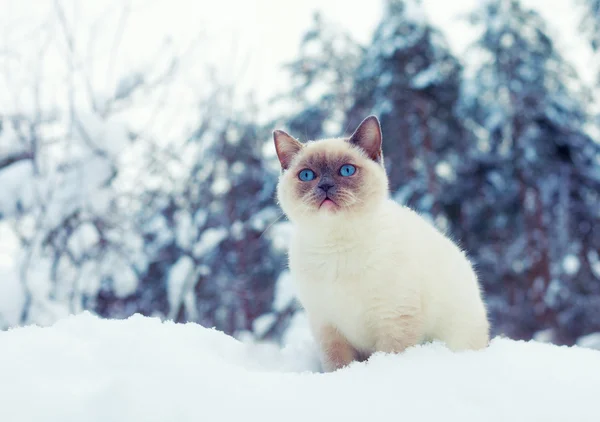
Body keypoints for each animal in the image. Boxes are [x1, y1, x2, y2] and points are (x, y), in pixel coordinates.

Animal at [274, 115, 490, 372]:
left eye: (346, 170)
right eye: (307, 175)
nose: (325, 186)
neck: (337, 247)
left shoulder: (394, 320)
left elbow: (388, 357)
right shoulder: (328, 327)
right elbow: (338, 365)